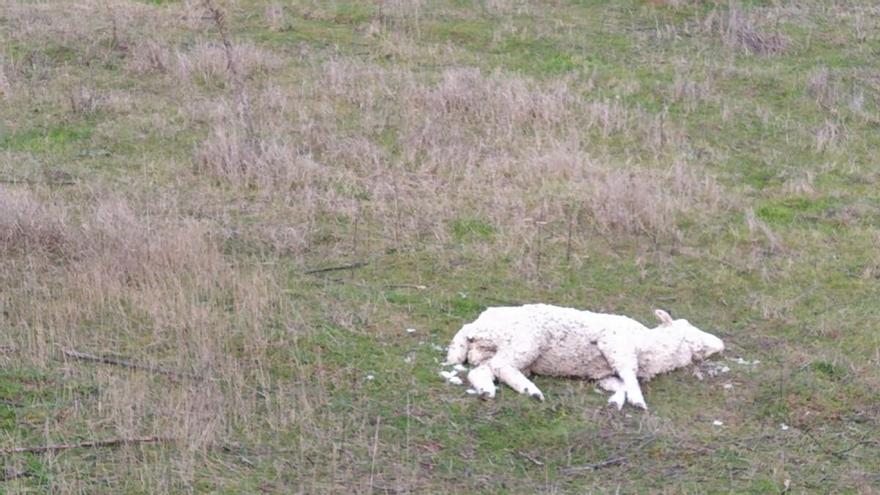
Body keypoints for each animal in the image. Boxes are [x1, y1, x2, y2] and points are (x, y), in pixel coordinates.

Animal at [444, 304, 724, 412]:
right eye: (689, 328)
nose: (721, 344)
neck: (650, 345)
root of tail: (473, 325)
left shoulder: (604, 372)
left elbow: (619, 382)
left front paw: (616, 400)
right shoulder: (615, 345)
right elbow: (629, 375)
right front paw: (637, 400)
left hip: (488, 350)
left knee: (483, 370)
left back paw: (495, 390)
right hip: (524, 341)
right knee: (500, 367)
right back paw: (528, 390)